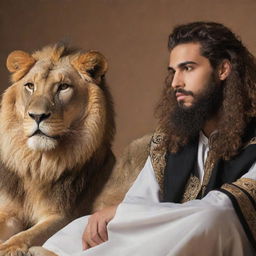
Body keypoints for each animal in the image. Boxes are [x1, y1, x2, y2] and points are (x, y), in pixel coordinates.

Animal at [0, 44, 116, 256]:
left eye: (63, 87)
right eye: (30, 86)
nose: (37, 116)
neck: (38, 165)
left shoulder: (65, 215)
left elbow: (29, 233)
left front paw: (8, 247)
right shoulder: (9, 211)